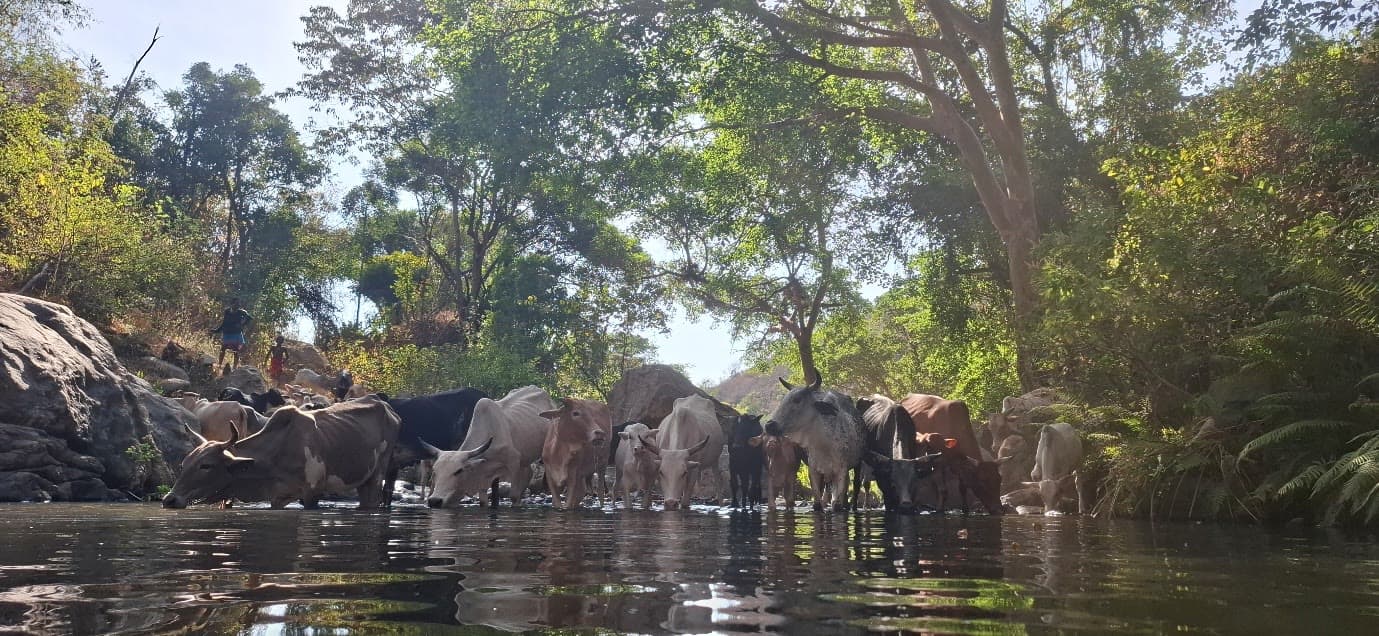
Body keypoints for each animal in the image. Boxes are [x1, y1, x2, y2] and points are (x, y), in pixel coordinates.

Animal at [161, 395, 401, 509]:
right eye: (184, 464)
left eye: (206, 465)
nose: (169, 499)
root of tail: (389, 409)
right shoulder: (278, 497)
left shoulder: (312, 495)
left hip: (376, 478)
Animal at [425, 385, 554, 509]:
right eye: (435, 471)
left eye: (458, 471)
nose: (434, 501)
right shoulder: (483, 474)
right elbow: (483, 501)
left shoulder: (514, 462)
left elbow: (514, 496)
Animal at [768, 376, 864, 512]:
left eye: (797, 399)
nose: (769, 425)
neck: (824, 443)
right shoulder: (813, 469)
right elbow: (817, 504)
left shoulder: (841, 470)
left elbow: (837, 505)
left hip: (858, 464)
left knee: (853, 485)